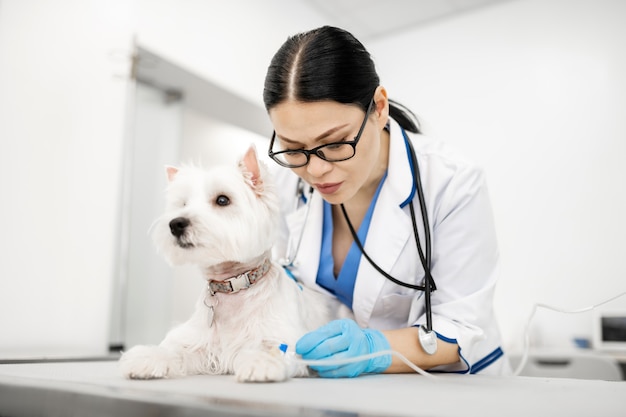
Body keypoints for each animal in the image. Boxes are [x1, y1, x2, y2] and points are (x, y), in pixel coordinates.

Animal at [120, 145, 338, 380]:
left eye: (222, 200)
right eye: (183, 204)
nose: (176, 224)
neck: (233, 286)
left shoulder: (284, 336)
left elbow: (274, 348)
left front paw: (260, 362)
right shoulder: (200, 342)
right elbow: (176, 350)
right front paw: (146, 357)